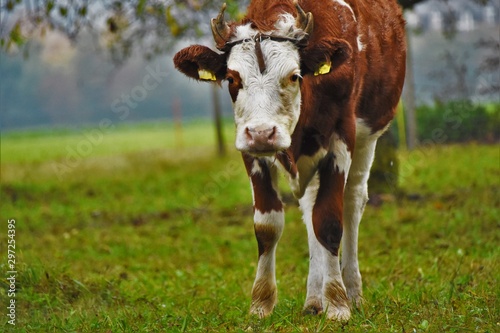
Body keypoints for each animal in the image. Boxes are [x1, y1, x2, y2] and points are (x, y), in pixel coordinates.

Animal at [174, 0, 404, 322]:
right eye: (232, 78)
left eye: (294, 76)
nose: (262, 133)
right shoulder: (249, 149)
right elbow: (268, 225)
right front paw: (261, 302)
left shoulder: (342, 137)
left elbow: (330, 220)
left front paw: (338, 303)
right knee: (309, 208)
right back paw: (314, 299)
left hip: (369, 136)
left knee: (352, 202)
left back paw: (353, 293)